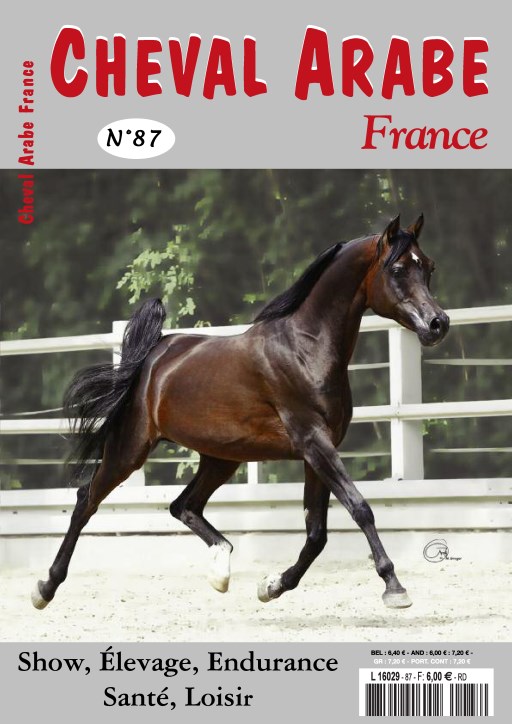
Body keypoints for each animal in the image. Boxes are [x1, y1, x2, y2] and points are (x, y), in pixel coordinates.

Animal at [31, 213, 449, 611]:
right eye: (398, 269)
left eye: (429, 266)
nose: (438, 323)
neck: (305, 348)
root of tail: (154, 355)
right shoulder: (314, 443)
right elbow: (360, 509)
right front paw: (395, 588)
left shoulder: (315, 453)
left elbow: (316, 533)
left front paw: (271, 587)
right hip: (130, 449)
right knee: (86, 500)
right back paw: (45, 588)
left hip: (221, 457)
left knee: (183, 506)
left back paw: (221, 571)